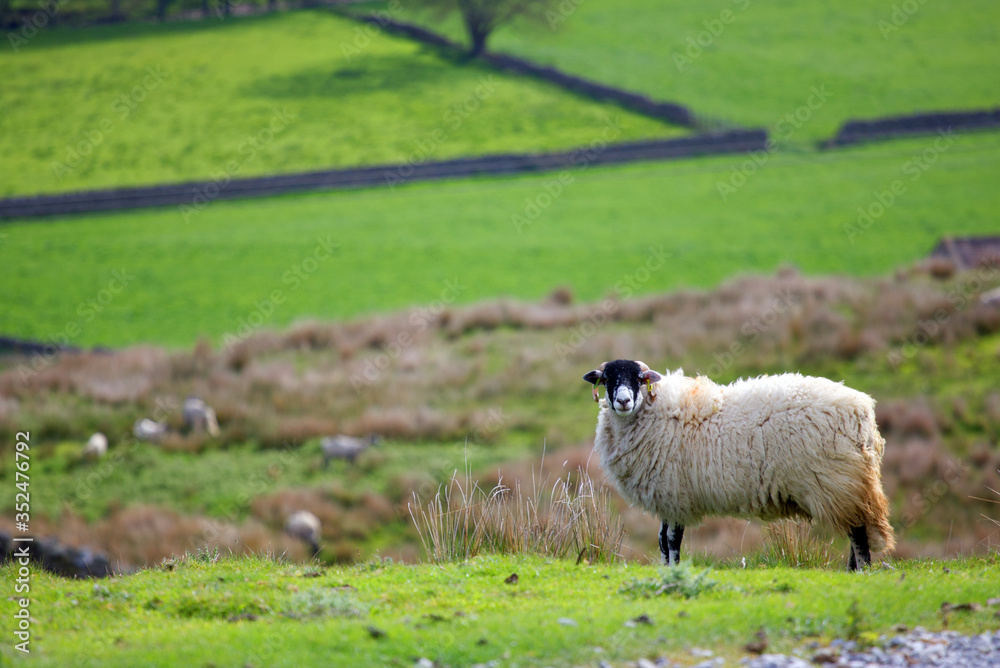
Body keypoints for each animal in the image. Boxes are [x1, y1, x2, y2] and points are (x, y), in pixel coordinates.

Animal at [583, 359, 894, 570]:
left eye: (638, 379)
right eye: (607, 379)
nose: (623, 401)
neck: (652, 413)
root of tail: (863, 410)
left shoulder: (675, 493)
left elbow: (671, 539)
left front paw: (674, 569)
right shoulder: (669, 496)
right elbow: (661, 539)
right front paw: (666, 569)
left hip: (839, 481)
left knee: (858, 533)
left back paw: (862, 570)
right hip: (849, 485)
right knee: (858, 529)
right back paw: (852, 570)